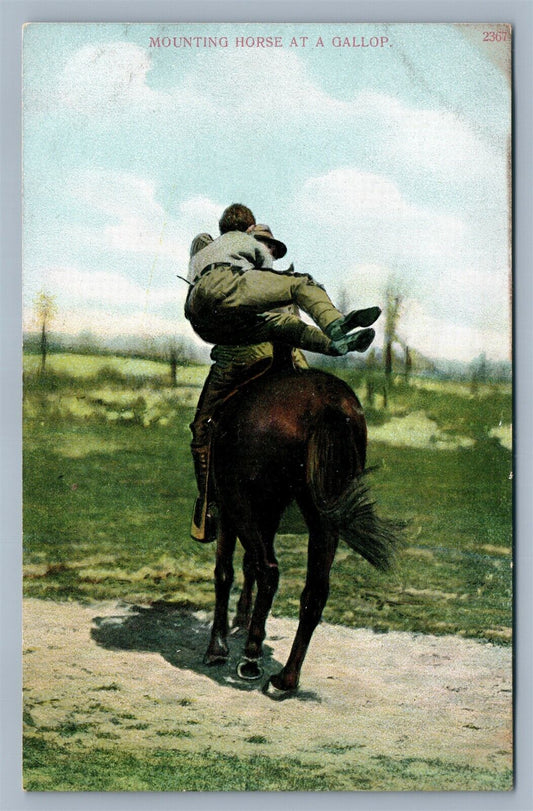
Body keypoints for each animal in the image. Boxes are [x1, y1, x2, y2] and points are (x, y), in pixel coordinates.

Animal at [202, 366, 400, 695]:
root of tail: (327, 405)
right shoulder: (266, 517)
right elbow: (246, 566)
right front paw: (241, 621)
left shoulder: (230, 510)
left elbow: (225, 573)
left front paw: (218, 647)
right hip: (323, 518)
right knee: (314, 592)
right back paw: (287, 678)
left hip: (240, 504)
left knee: (268, 571)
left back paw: (251, 657)